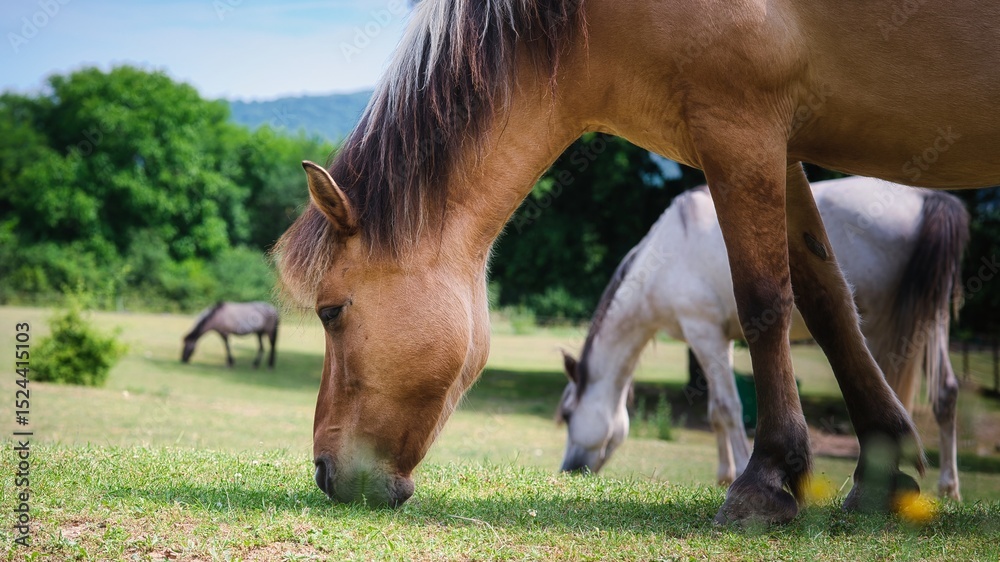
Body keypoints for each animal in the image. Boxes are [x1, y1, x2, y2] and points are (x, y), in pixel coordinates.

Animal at [556, 176, 968, 501]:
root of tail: (929, 199)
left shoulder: (704, 334)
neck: (665, 256)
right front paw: (724, 474)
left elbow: (727, 408)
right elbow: (715, 412)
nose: (568, 470)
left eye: (567, 414)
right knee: (945, 392)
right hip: (931, 320)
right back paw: (948, 488)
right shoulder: (716, 340)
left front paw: (741, 470)